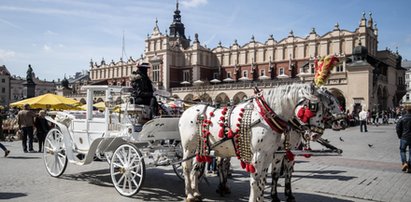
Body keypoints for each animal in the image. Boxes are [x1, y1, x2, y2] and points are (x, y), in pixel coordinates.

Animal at [179, 83, 334, 201]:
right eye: (313, 106)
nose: (317, 133)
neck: (264, 116)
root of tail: (187, 110)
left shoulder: (269, 154)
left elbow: (263, 181)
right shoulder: (259, 155)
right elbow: (255, 181)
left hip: (201, 148)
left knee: (195, 168)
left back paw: (196, 192)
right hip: (188, 147)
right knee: (186, 167)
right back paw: (189, 194)